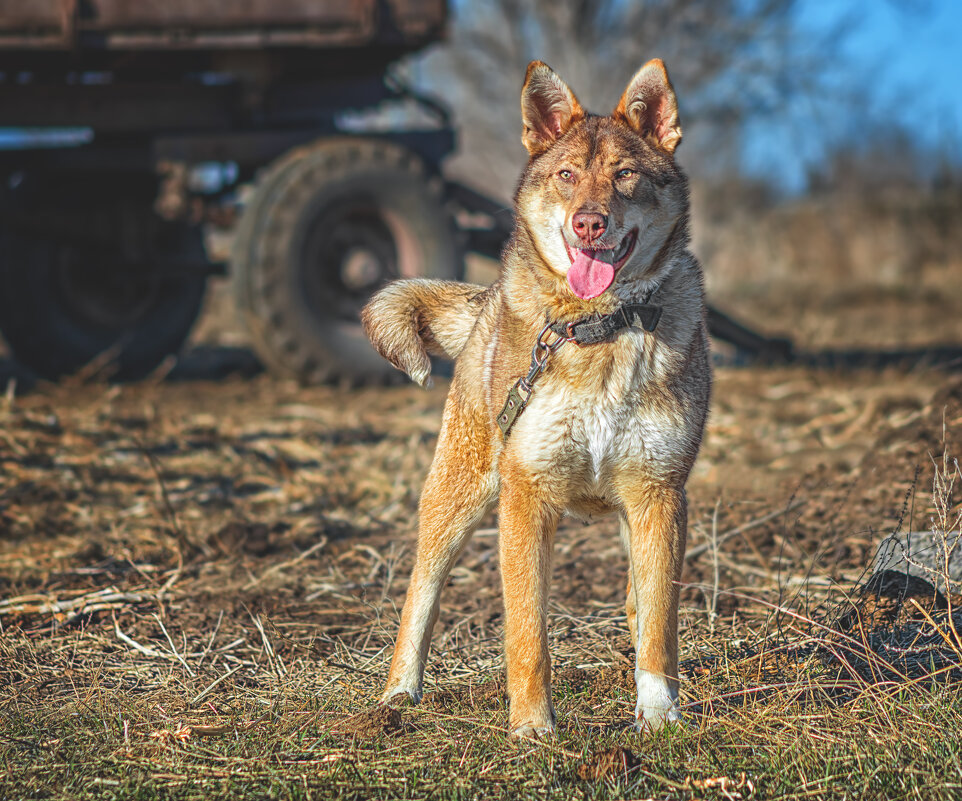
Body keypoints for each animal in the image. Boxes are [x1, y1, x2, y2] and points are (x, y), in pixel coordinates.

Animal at [364, 57, 708, 736]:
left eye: (625, 175)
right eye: (567, 176)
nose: (589, 222)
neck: (597, 326)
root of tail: (484, 306)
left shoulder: (659, 496)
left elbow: (659, 626)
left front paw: (659, 716)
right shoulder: (527, 498)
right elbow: (528, 634)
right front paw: (531, 728)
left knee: (638, 601)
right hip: (457, 499)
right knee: (420, 593)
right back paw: (399, 693)